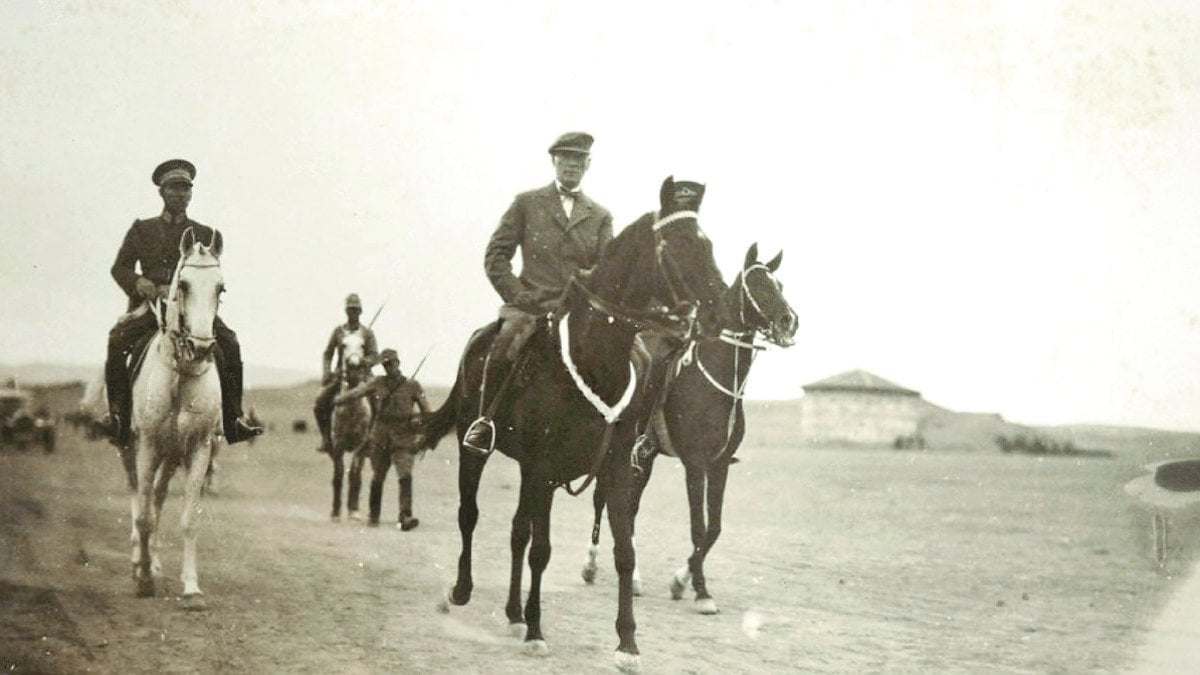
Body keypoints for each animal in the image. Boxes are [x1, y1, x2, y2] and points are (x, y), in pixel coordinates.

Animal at [127, 224, 225, 605]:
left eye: (220, 288)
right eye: (182, 285)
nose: (200, 347)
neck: (180, 374)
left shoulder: (199, 448)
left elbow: (188, 519)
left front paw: (191, 586)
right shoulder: (147, 445)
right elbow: (143, 516)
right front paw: (142, 581)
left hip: (171, 457)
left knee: (156, 498)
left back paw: (152, 562)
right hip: (132, 448)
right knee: (140, 501)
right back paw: (139, 562)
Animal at [422, 176, 720, 667]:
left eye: (707, 242)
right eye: (679, 245)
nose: (715, 310)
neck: (594, 359)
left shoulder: (614, 469)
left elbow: (623, 552)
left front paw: (627, 643)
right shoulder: (543, 469)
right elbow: (542, 550)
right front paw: (537, 631)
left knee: (516, 532)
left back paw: (512, 612)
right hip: (475, 448)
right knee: (471, 515)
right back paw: (462, 592)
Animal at [580, 242, 796, 614]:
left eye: (779, 286)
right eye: (758, 286)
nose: (790, 321)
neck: (716, 377)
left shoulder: (720, 465)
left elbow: (714, 529)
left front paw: (681, 581)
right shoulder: (695, 464)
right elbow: (698, 527)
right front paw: (700, 591)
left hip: (645, 458)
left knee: (629, 508)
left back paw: (633, 578)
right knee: (602, 499)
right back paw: (591, 565)